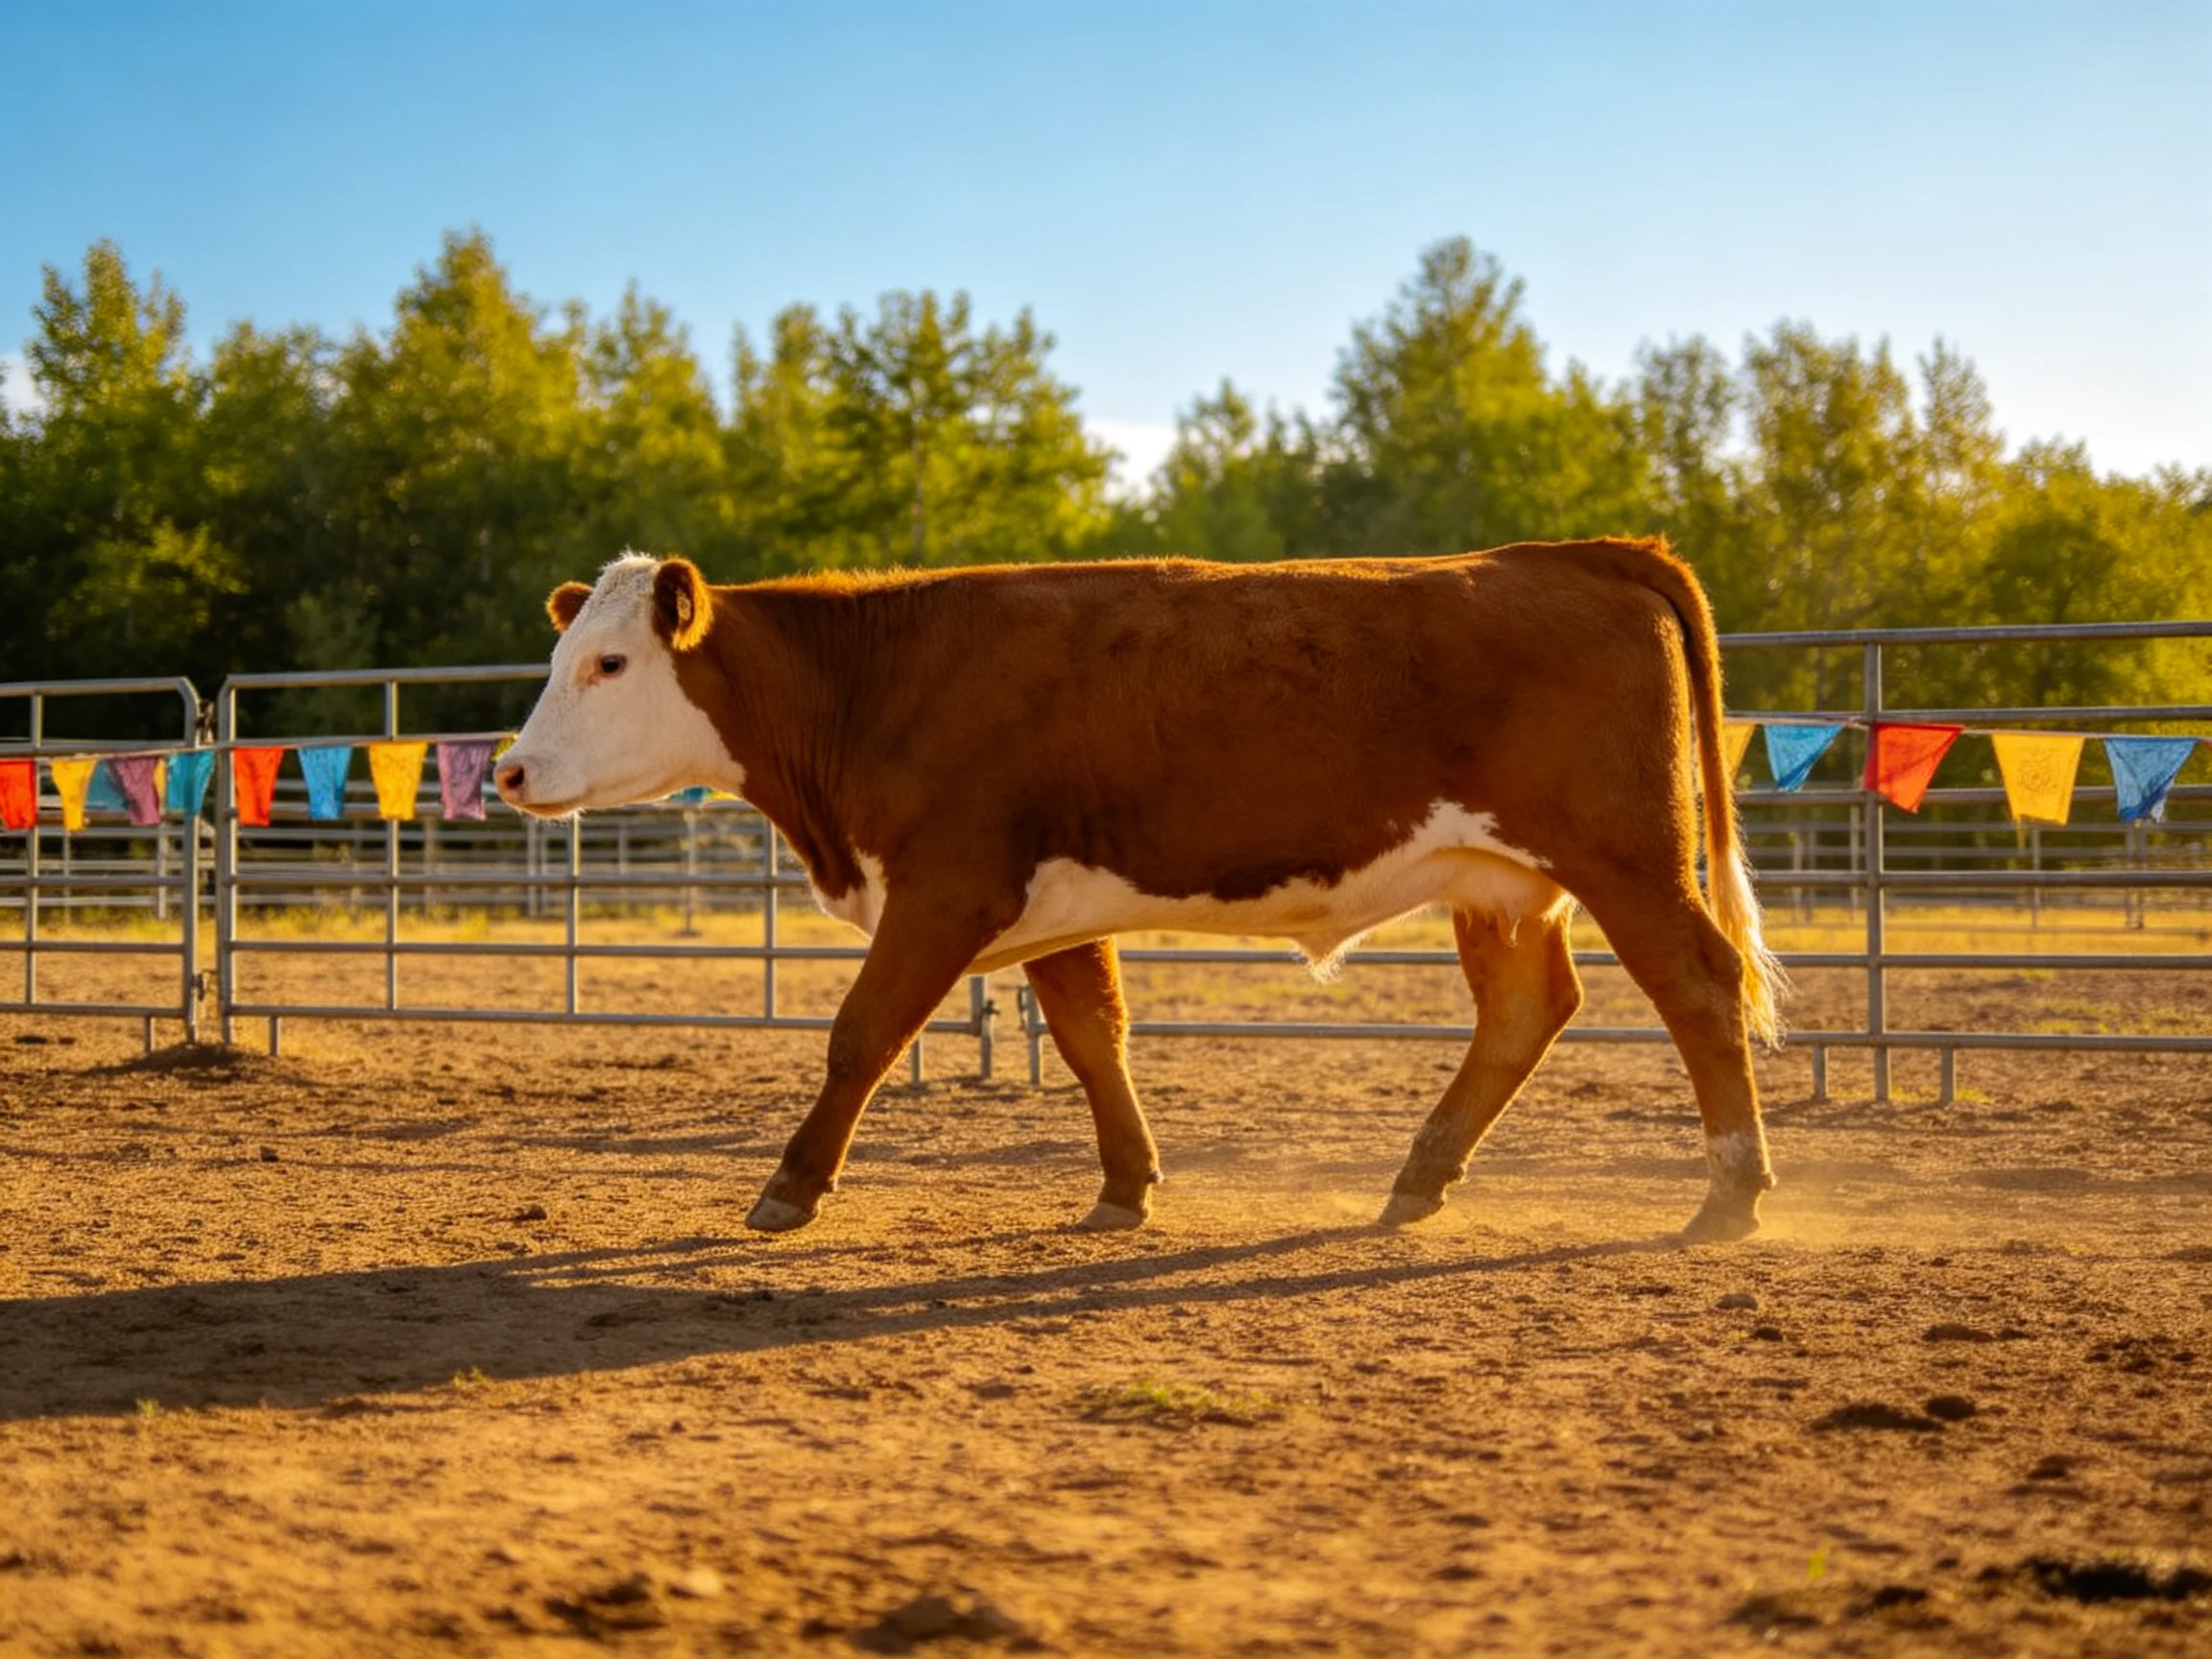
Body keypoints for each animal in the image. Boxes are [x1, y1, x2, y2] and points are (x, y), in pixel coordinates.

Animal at [495, 539, 1784, 1241]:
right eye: (559, 658)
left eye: (611, 663)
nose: (509, 771)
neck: (880, 684)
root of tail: (1573, 553)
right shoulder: (1051, 907)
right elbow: (1089, 1037)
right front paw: (1126, 1185)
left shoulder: (947, 891)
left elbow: (862, 1033)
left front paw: (790, 1187)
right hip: (1503, 882)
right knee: (1524, 1009)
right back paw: (1419, 1180)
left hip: (1626, 857)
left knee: (1699, 985)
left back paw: (1731, 1196)